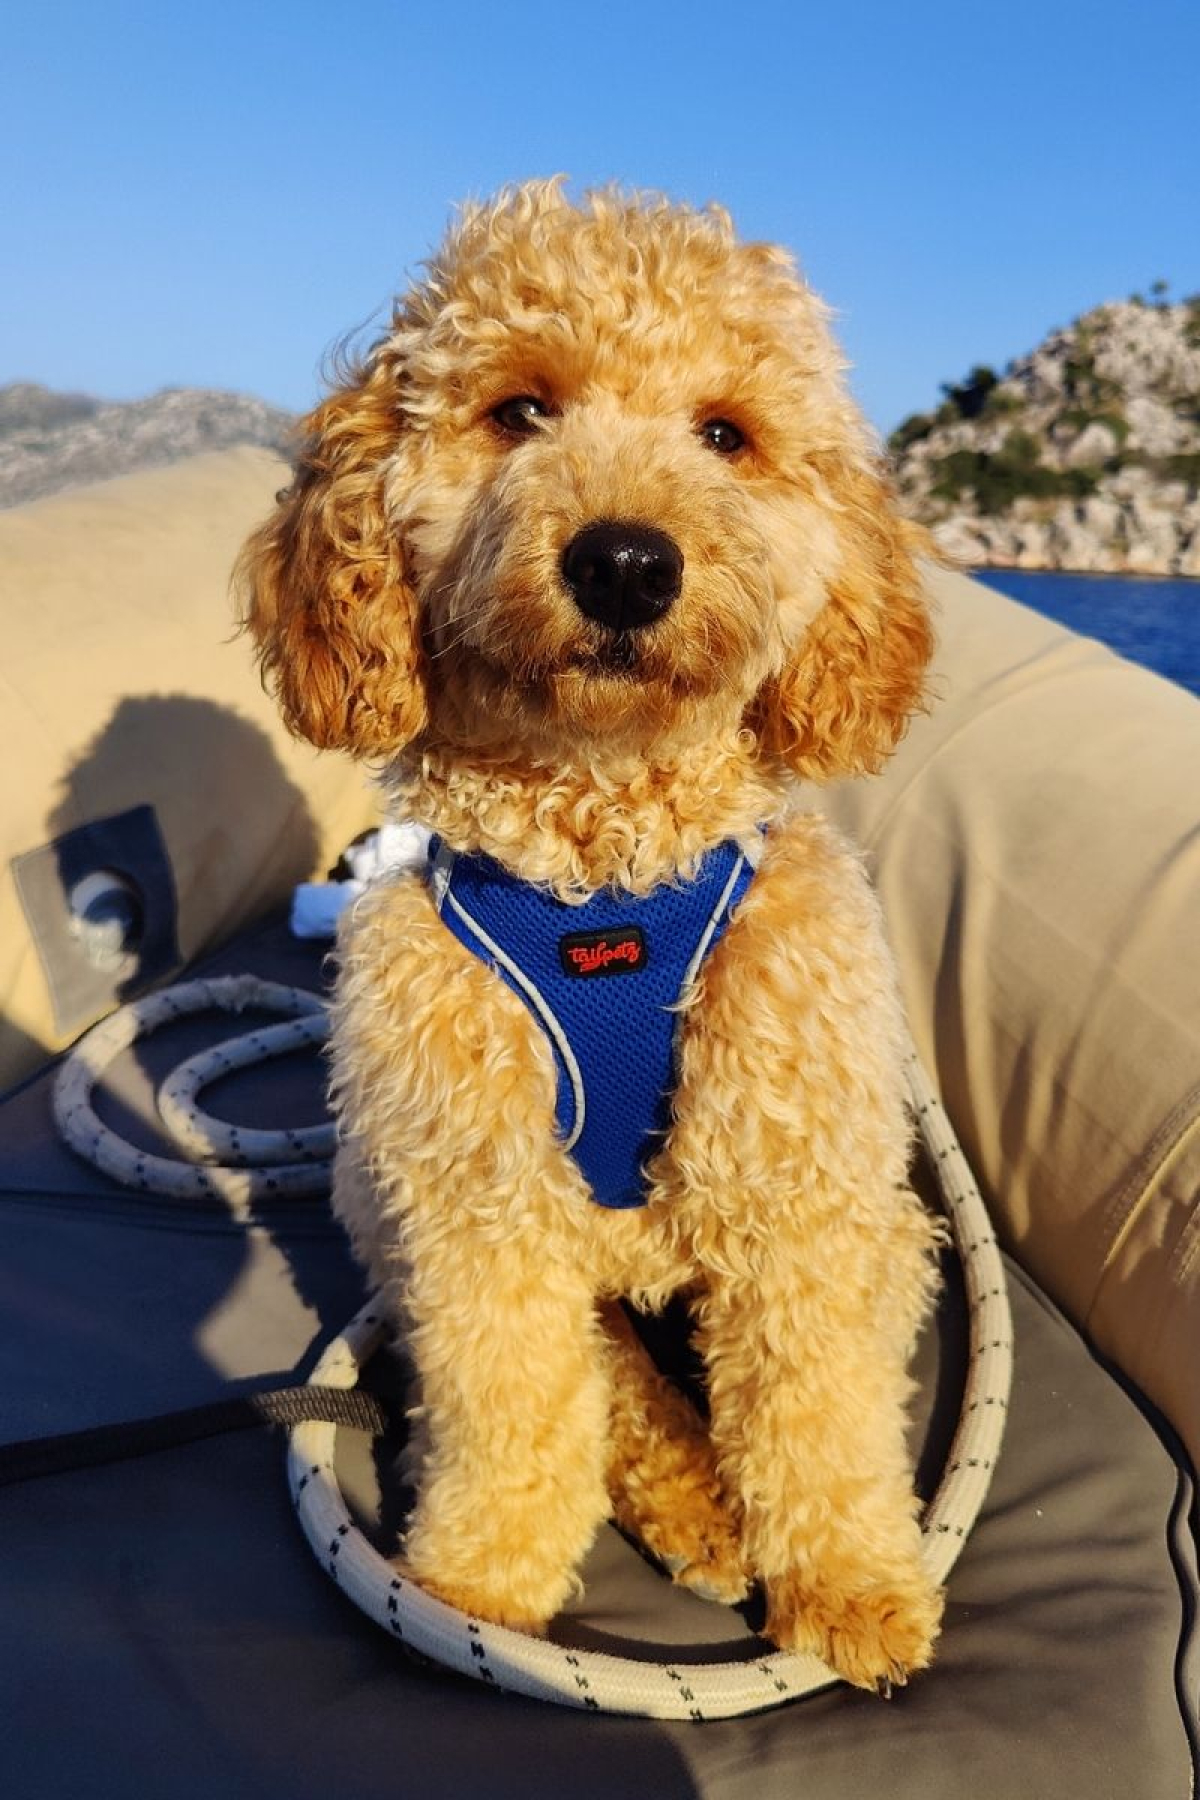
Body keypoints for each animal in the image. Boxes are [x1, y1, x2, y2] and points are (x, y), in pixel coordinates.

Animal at [239, 180, 942, 1691]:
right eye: (519, 410)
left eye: (726, 433)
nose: (625, 561)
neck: (604, 871)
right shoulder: (473, 1191)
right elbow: (512, 1399)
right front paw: (478, 1589)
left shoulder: (799, 1180)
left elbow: (819, 1406)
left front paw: (854, 1586)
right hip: (388, 1205)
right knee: (609, 1376)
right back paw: (690, 1504)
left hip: (894, 1219)